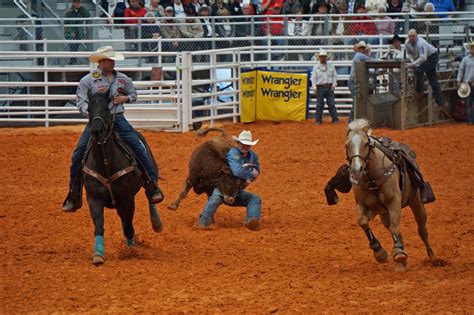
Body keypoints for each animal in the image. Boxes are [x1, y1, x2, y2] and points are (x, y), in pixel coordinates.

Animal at [85, 92, 165, 266]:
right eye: (88, 109)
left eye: (107, 109)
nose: (96, 130)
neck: (105, 163)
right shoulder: (94, 198)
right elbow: (99, 226)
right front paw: (98, 255)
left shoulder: (127, 198)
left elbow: (129, 225)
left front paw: (131, 250)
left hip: (149, 172)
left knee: (150, 193)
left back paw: (156, 222)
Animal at [344, 119, 444, 272]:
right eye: (347, 145)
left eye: (366, 143)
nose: (356, 169)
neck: (372, 179)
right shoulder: (364, 205)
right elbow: (362, 221)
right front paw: (380, 252)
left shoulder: (394, 202)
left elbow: (395, 226)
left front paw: (397, 252)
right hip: (385, 214)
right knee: (394, 228)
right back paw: (401, 261)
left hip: (416, 203)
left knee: (421, 230)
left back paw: (432, 257)